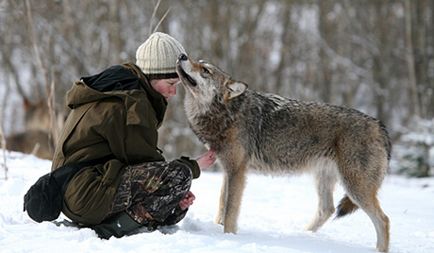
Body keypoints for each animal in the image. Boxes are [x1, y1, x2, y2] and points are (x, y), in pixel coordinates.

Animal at [175, 53, 392, 251]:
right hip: (325, 179)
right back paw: (303, 236)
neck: (227, 114)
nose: (182, 55)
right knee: (327, 209)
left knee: (384, 220)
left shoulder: (237, 171)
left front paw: (229, 237)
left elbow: (230, 211)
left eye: (205, 70)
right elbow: (222, 204)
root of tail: (380, 126)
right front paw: (219, 230)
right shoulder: (227, 170)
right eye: (197, 61)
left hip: (355, 188)